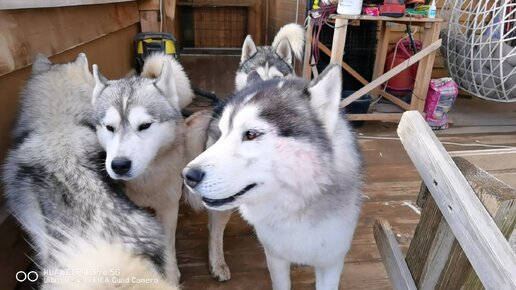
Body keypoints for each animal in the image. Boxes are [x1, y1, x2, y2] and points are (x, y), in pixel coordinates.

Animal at [91, 52, 191, 284]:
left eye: (144, 126)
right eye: (109, 127)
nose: (119, 165)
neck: (146, 183)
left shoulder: (168, 208)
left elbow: (168, 243)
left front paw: (170, 275)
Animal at [183, 64, 364, 290]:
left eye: (251, 134)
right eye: (224, 132)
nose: (188, 175)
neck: (297, 206)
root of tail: (219, 103)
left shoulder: (331, 261)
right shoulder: (276, 258)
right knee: (215, 229)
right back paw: (217, 263)